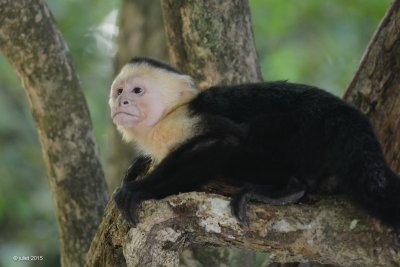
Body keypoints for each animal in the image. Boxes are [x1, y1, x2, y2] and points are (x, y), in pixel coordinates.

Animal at [110, 58, 400, 243]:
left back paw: (288, 189)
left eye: (138, 90)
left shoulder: (181, 121)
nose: (122, 101)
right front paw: (138, 164)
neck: (167, 114)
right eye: (119, 91)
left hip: (306, 127)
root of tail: (342, 111)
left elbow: (226, 140)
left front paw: (141, 189)